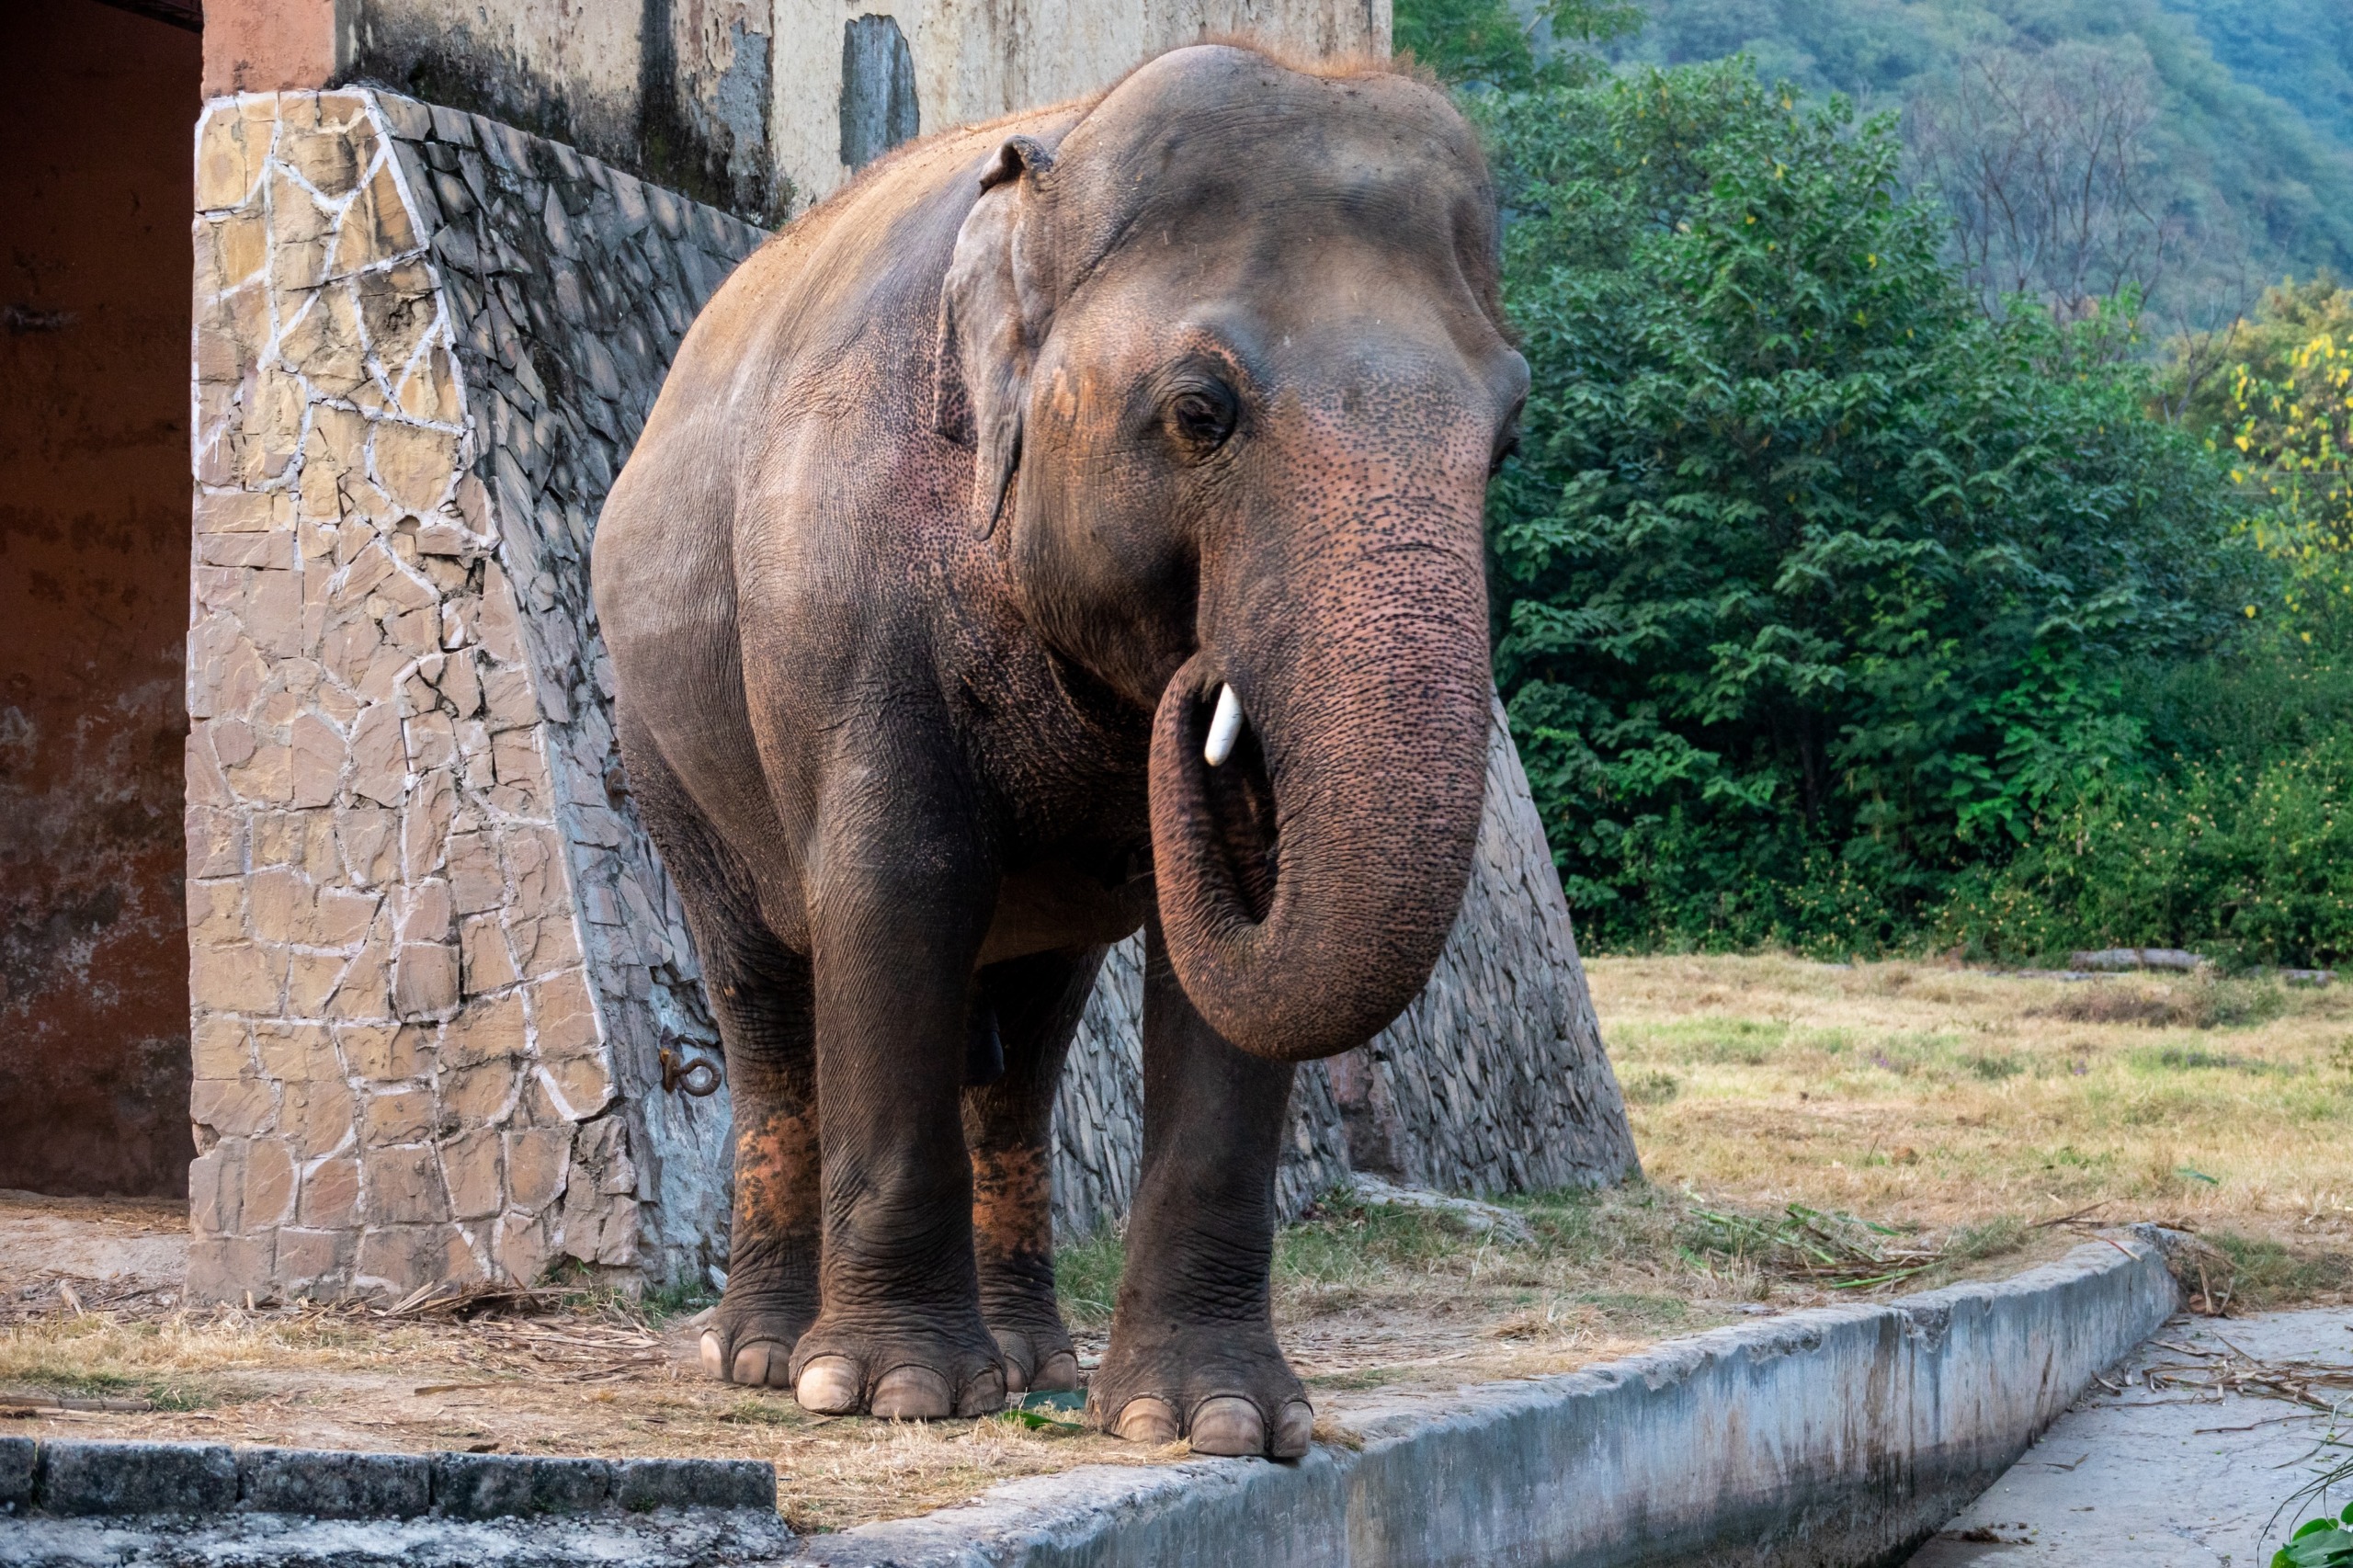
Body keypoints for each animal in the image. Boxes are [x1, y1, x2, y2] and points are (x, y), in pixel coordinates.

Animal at [593, 40, 1524, 1449]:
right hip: (666, 745)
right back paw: (760, 1356)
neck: (1057, 158)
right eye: (1200, 412)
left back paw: (1035, 1364)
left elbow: (1229, 945)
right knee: (762, 996)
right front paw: (891, 1393)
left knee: (1025, 1044)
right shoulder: (844, 586)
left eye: (1508, 437)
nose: (1196, 681)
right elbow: (897, 885)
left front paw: (1213, 1422)